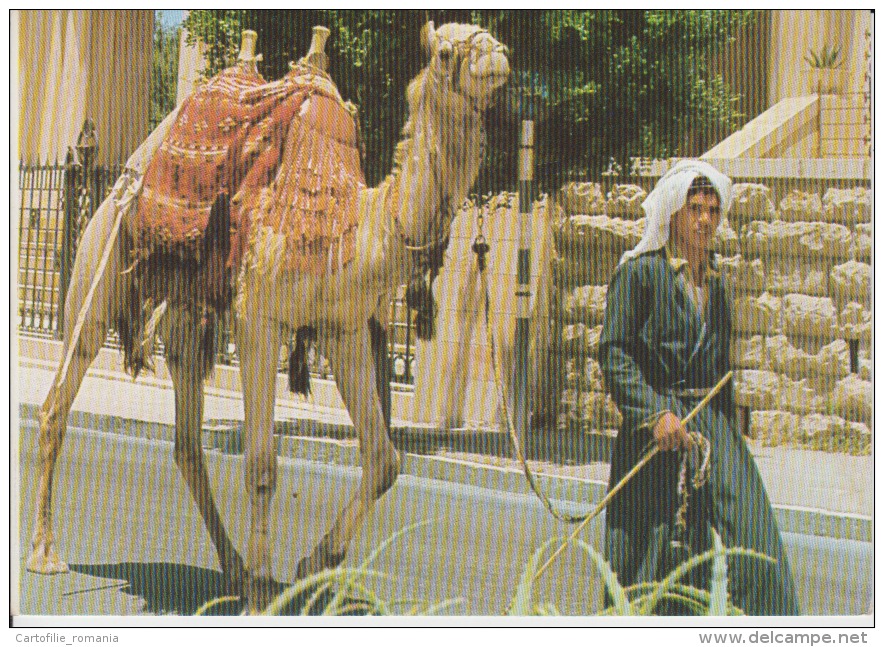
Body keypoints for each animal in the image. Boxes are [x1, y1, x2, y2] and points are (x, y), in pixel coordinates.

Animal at [25, 21, 512, 612]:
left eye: (490, 34)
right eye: (446, 51)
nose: (497, 57)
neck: (356, 227)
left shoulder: (344, 328)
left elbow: (384, 460)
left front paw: (310, 566)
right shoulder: (259, 318)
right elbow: (261, 463)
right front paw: (263, 589)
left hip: (187, 314)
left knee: (187, 441)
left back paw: (231, 567)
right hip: (99, 266)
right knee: (57, 402)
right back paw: (46, 554)